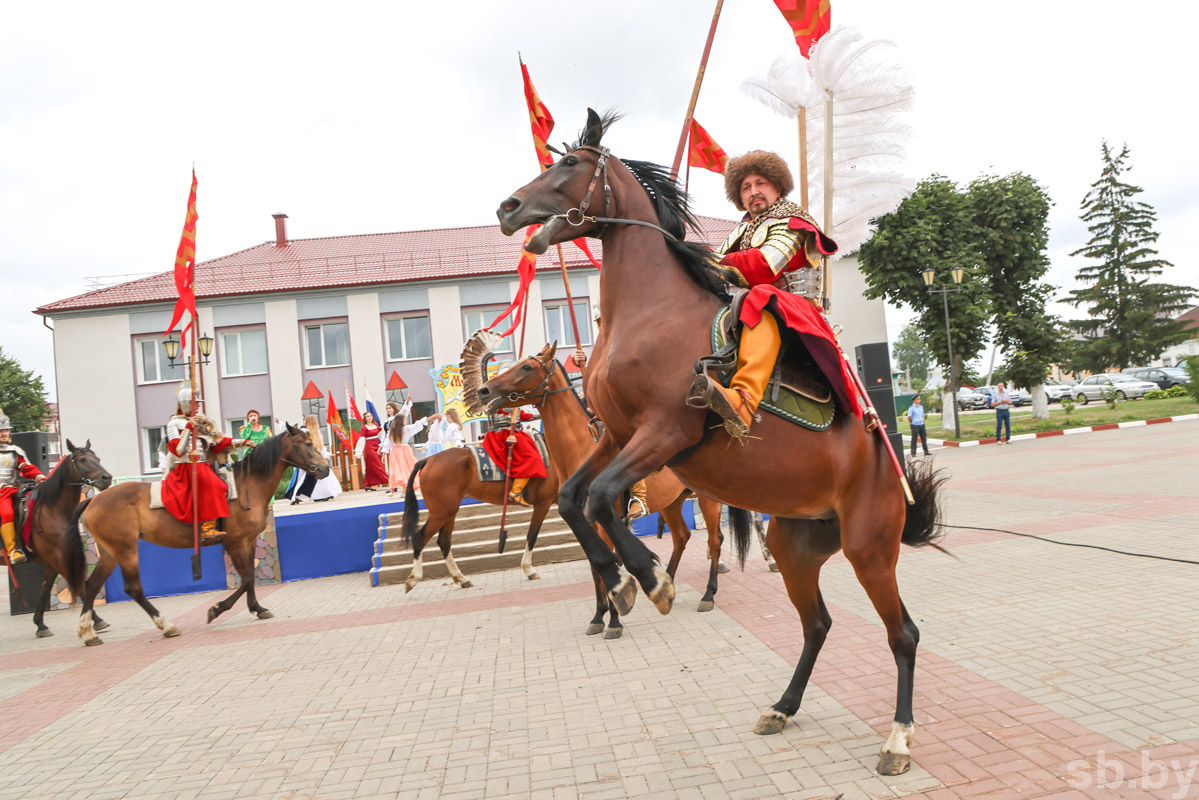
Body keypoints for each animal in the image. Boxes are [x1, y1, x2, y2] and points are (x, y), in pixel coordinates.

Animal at [22, 438, 112, 638]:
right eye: (82, 460)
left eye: (97, 458)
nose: (106, 478)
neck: (51, 509)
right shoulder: (58, 557)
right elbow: (78, 586)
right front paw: (95, 620)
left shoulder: (54, 558)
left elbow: (46, 586)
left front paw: (40, 624)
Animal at [70, 424, 333, 642]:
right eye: (307, 444)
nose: (325, 468)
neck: (247, 485)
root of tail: (94, 500)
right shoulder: (236, 543)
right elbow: (246, 579)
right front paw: (216, 609)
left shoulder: (248, 542)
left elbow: (250, 577)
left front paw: (257, 608)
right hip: (126, 550)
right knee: (133, 589)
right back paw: (166, 625)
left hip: (109, 553)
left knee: (91, 585)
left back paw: (88, 632)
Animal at [498, 110, 944, 777]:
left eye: (571, 164)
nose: (508, 207)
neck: (649, 310)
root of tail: (884, 461)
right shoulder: (620, 436)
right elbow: (578, 499)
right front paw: (621, 584)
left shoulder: (664, 432)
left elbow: (602, 499)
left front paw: (648, 580)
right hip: (796, 547)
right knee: (817, 624)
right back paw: (783, 706)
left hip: (869, 548)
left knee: (903, 635)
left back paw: (897, 739)